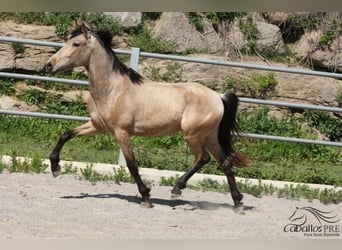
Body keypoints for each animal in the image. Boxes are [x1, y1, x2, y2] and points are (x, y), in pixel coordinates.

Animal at [44, 22, 248, 208]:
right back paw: (237, 202)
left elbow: (132, 164)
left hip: (193, 134)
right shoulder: (97, 126)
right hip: (210, 136)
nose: (48, 65)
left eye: (76, 44)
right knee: (225, 162)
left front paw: (146, 197)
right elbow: (66, 134)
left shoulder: (121, 132)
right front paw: (55, 168)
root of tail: (218, 97)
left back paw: (177, 188)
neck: (112, 89)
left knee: (203, 158)